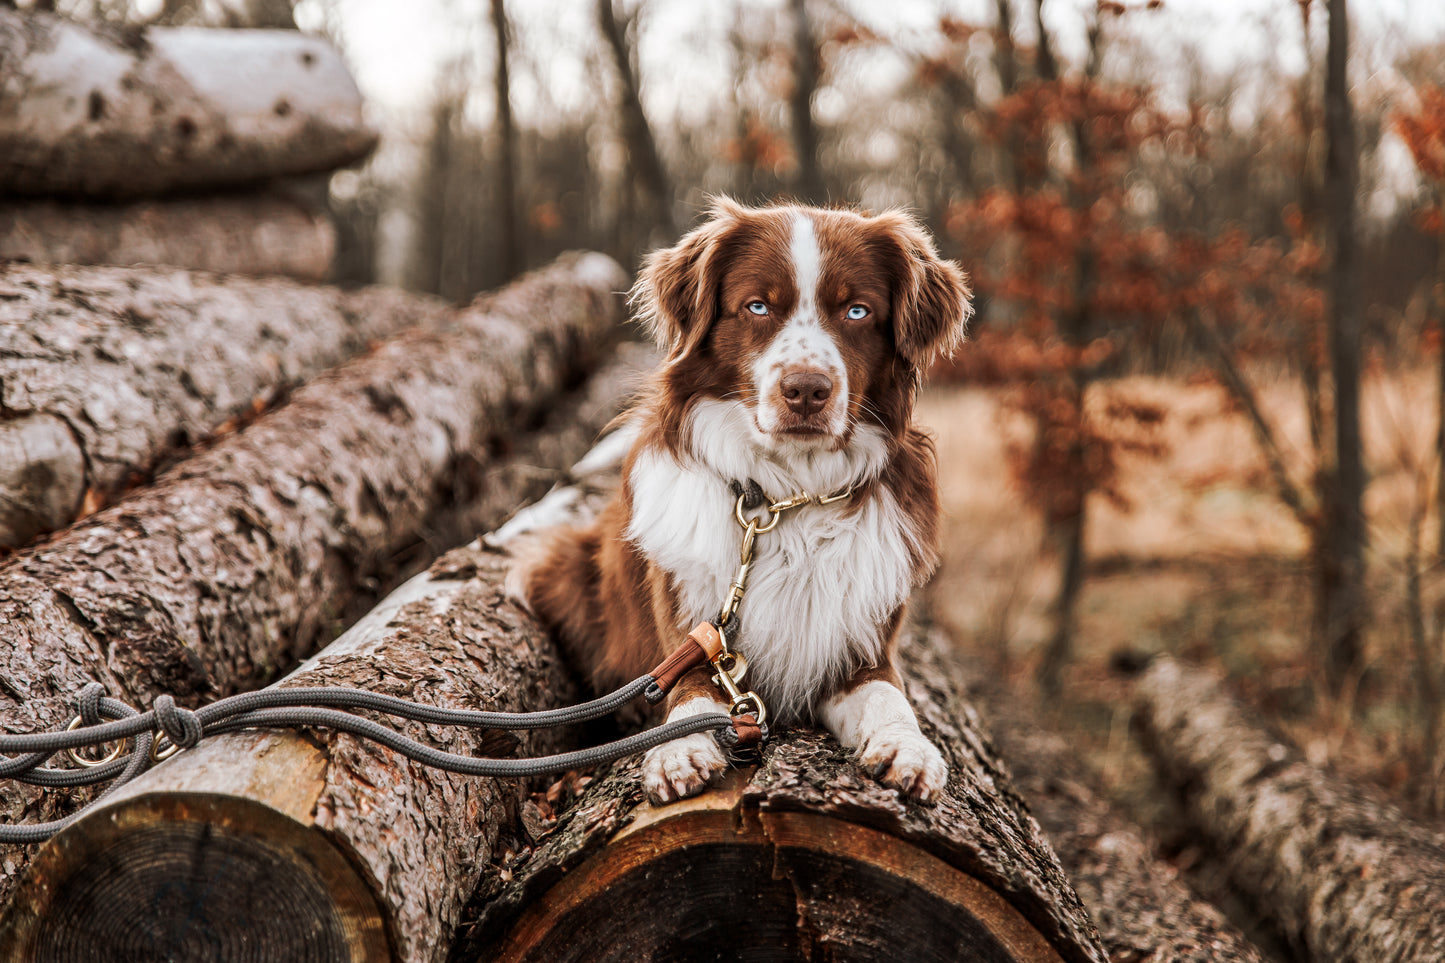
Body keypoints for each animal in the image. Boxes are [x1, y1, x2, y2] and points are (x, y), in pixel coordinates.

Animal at [508, 196, 971, 803]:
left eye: (857, 311)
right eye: (756, 306)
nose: (806, 390)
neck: (786, 497)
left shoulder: (861, 650)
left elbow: (889, 698)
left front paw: (910, 748)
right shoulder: (692, 627)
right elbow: (687, 687)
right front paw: (680, 749)